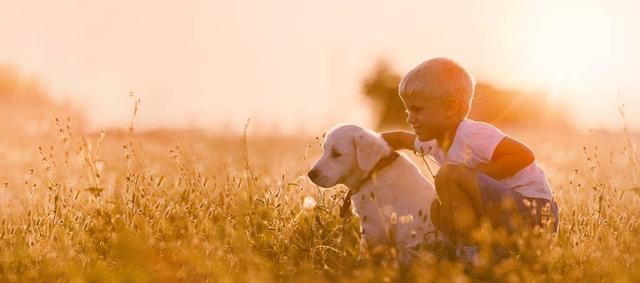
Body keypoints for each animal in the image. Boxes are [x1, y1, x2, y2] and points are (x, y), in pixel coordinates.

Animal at [308, 125, 442, 266]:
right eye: (324, 151)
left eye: (336, 154)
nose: (311, 174)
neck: (374, 171)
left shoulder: (373, 226)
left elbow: (365, 251)